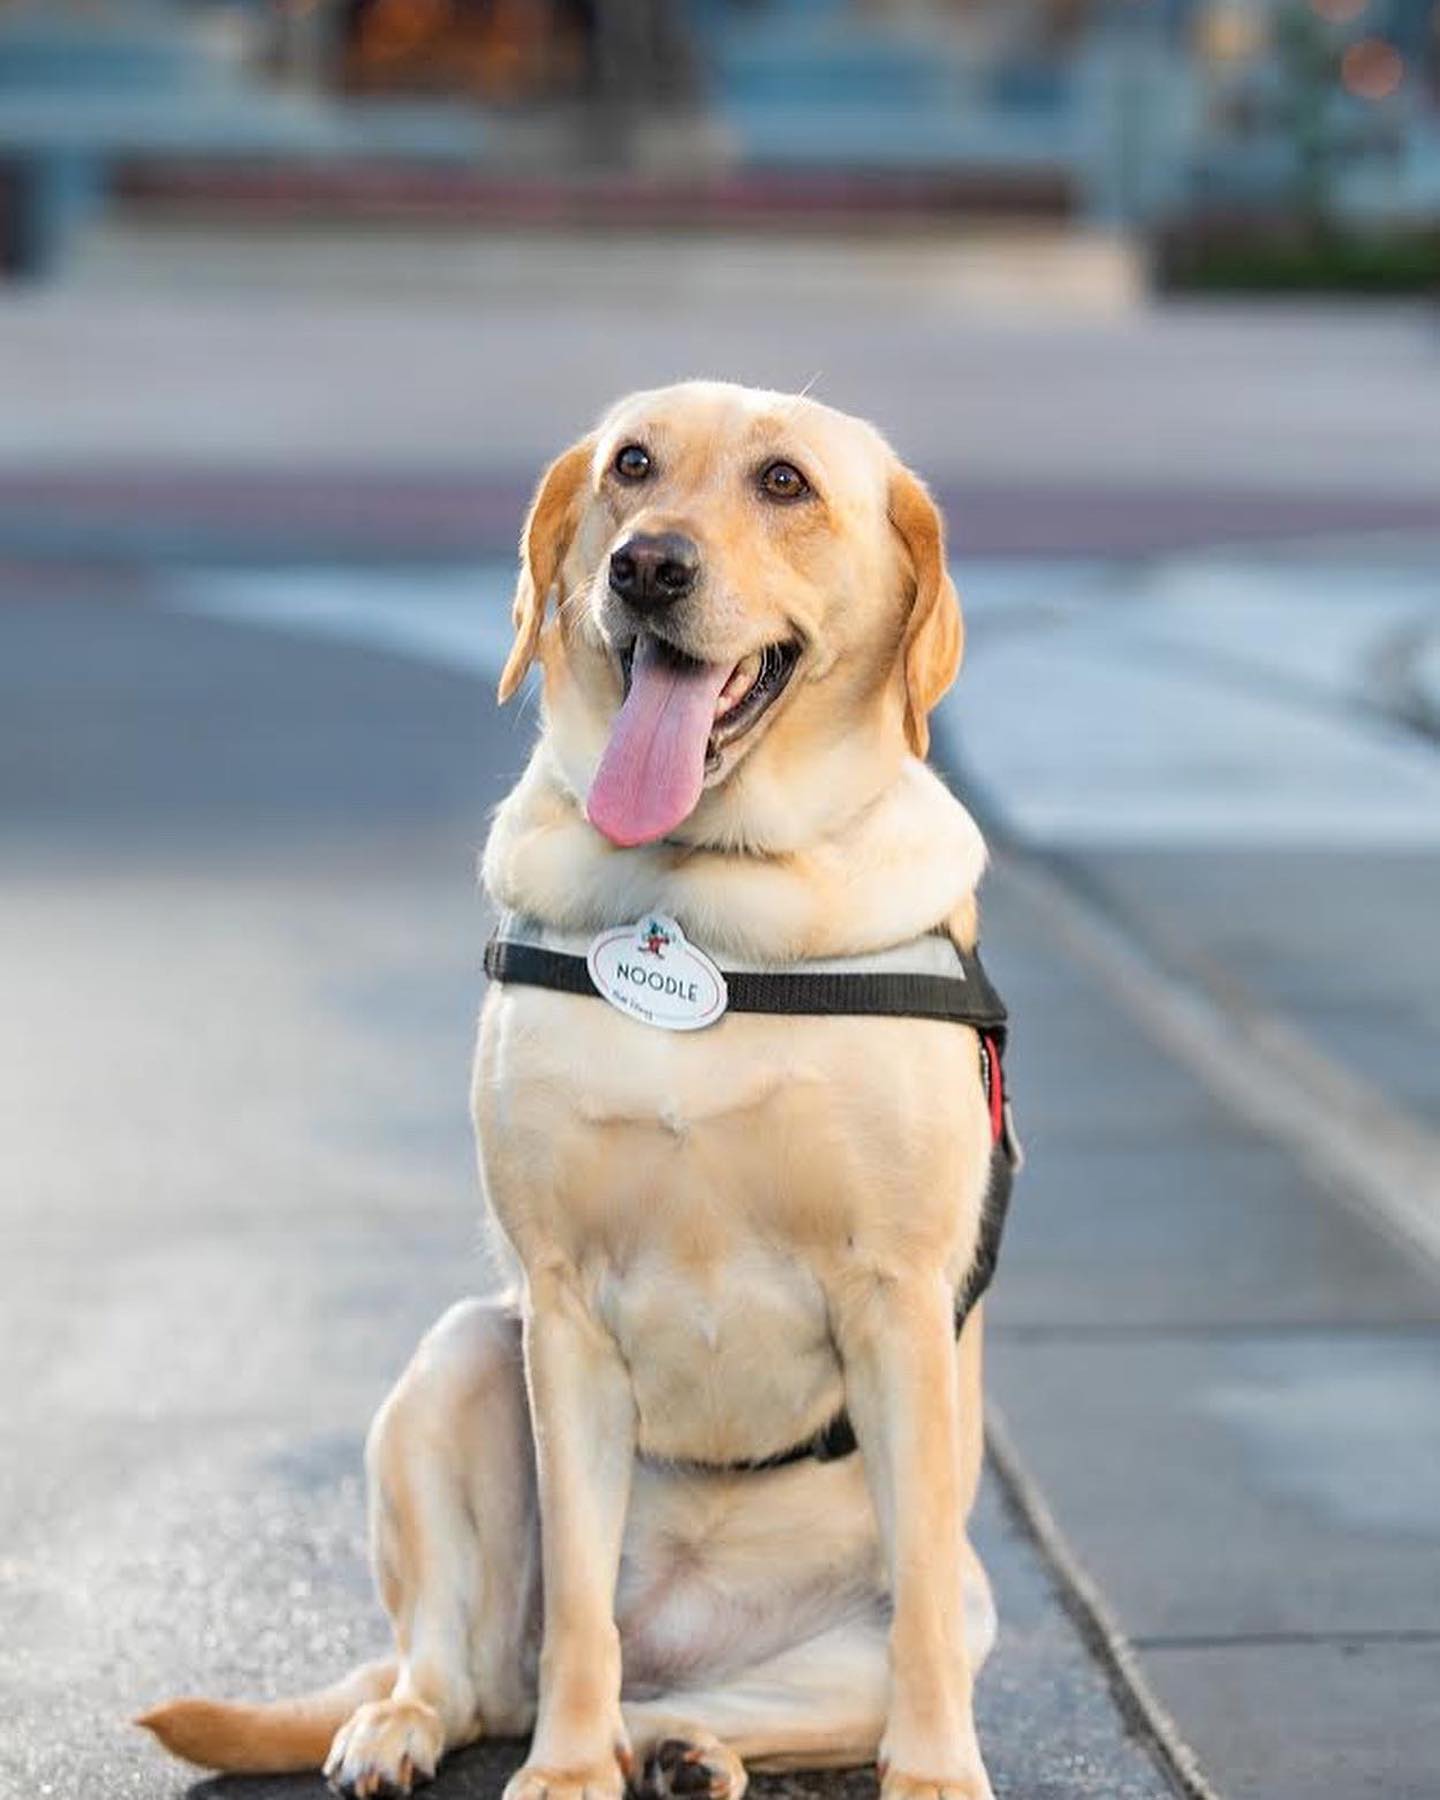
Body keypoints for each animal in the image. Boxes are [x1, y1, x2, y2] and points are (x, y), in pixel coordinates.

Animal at [140, 379, 1008, 1800]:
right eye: (632, 465)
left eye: (785, 482)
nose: (647, 565)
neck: (704, 915)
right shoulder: (561, 1308)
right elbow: (581, 1613)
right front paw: (561, 1771)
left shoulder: (899, 1302)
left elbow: (922, 1614)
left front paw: (936, 1776)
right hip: (456, 1368)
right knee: (470, 1670)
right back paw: (416, 1730)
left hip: (902, 1618)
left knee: (774, 1686)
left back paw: (689, 1751)